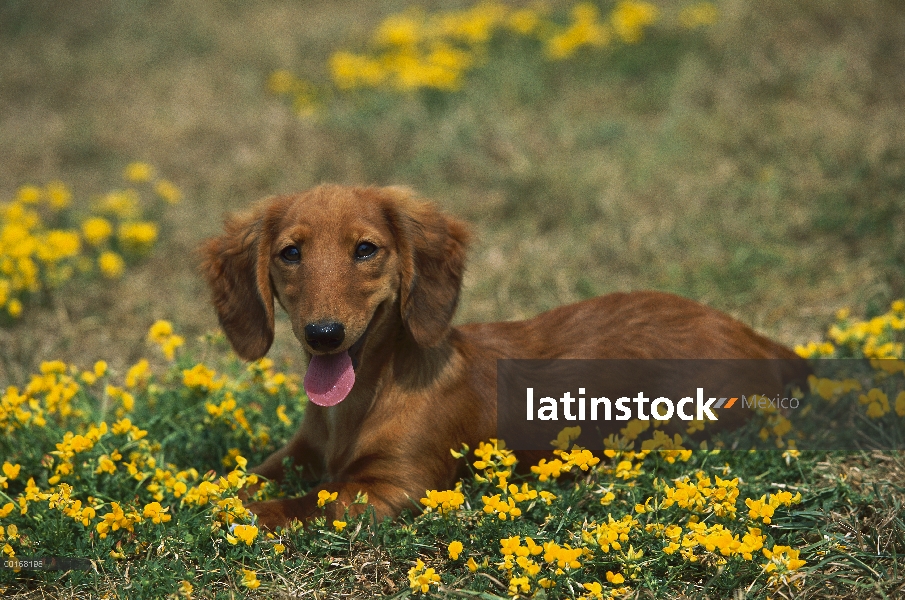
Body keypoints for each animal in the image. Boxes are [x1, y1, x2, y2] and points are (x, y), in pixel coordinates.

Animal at [200, 184, 804, 528]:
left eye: (366, 249)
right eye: (290, 253)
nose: (323, 334)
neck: (362, 400)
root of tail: (752, 335)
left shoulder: (396, 486)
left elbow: (307, 504)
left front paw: (239, 514)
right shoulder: (298, 454)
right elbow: (249, 479)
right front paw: (206, 493)